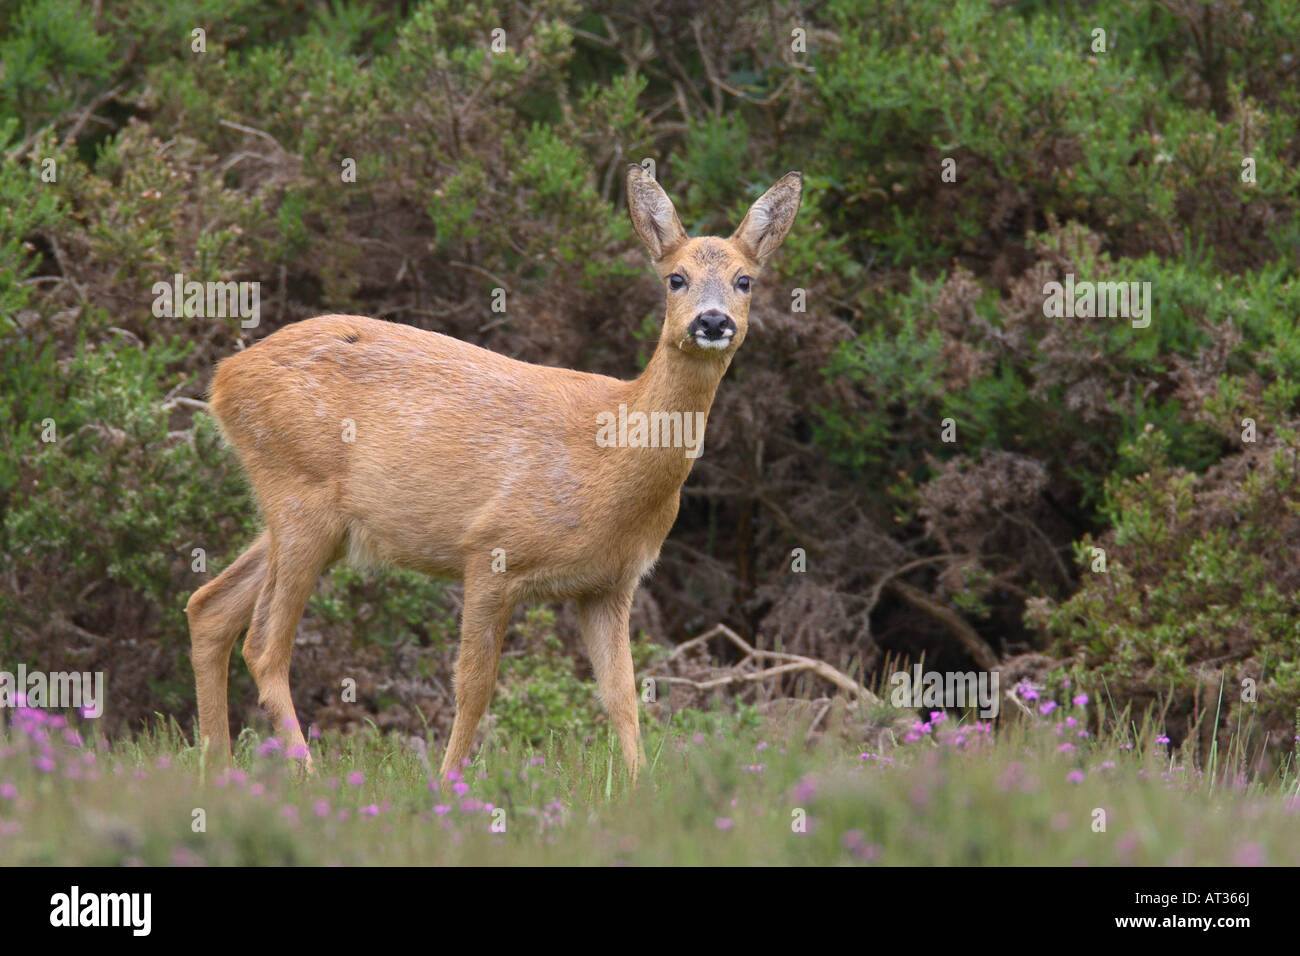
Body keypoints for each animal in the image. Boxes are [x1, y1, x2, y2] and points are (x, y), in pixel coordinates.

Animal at [185, 165, 802, 783]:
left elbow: (622, 695)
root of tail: (223, 377)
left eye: (745, 281)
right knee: (264, 646)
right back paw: (308, 776)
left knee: (209, 606)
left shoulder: (610, 583)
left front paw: (639, 787)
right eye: (676, 278)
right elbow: (475, 688)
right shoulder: (490, 550)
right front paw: (446, 783)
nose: (713, 321)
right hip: (299, 493)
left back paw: (218, 767)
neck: (609, 456)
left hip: (312, 518)